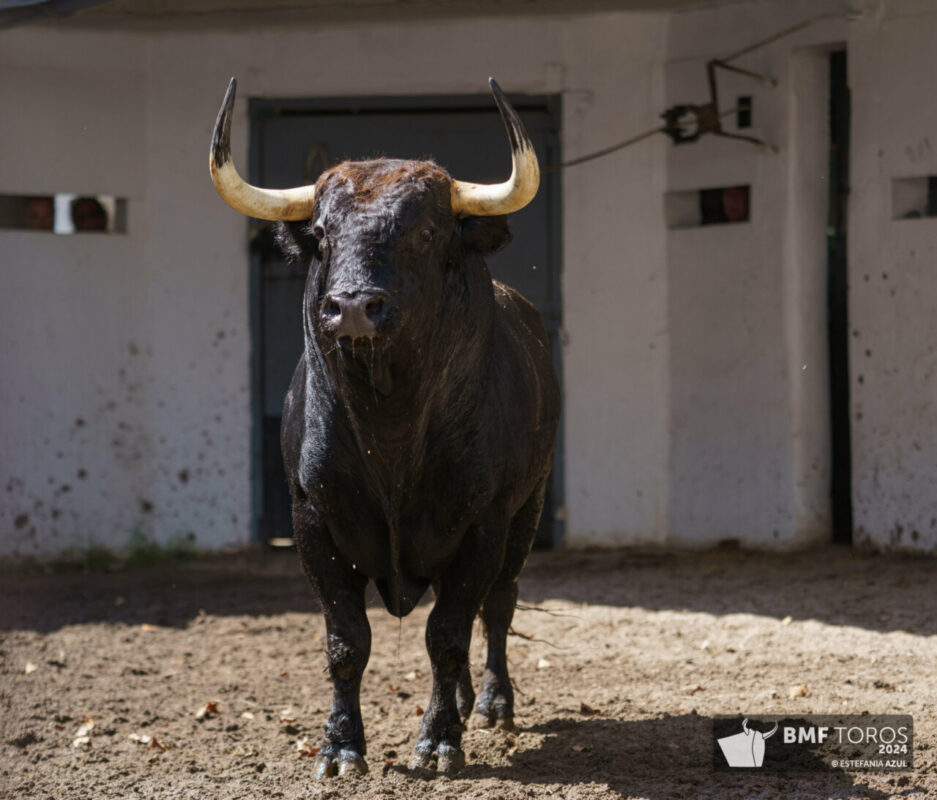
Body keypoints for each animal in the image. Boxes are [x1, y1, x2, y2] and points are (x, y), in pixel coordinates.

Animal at [209, 78, 560, 780]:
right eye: (321, 233)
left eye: (425, 231)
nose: (350, 307)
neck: (389, 429)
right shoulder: (311, 519)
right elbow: (348, 641)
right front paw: (342, 748)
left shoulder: (483, 522)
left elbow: (448, 633)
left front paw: (439, 743)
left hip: (527, 513)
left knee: (497, 606)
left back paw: (492, 705)